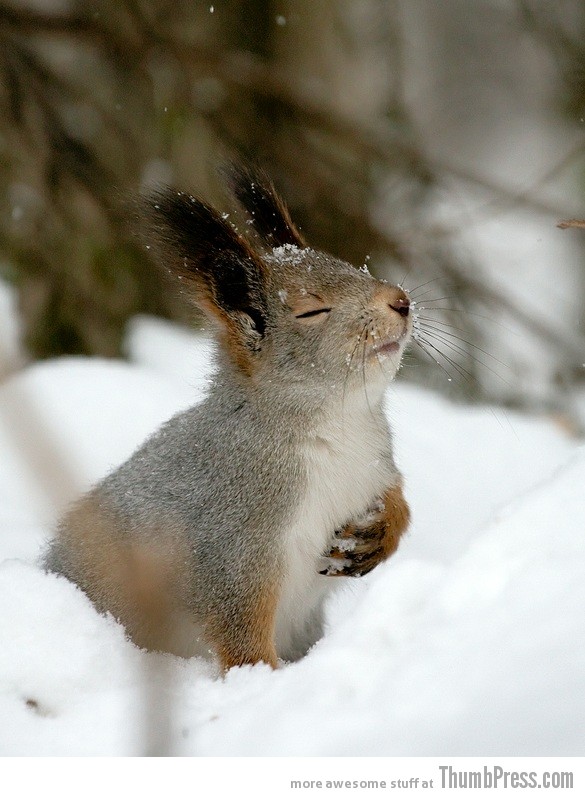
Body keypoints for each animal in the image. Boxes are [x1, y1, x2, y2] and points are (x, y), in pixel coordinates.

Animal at [43, 165, 412, 668]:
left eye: (353, 266)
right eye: (312, 310)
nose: (401, 300)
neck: (339, 424)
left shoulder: (375, 466)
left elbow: (397, 499)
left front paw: (382, 532)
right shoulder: (233, 542)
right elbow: (239, 630)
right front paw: (262, 678)